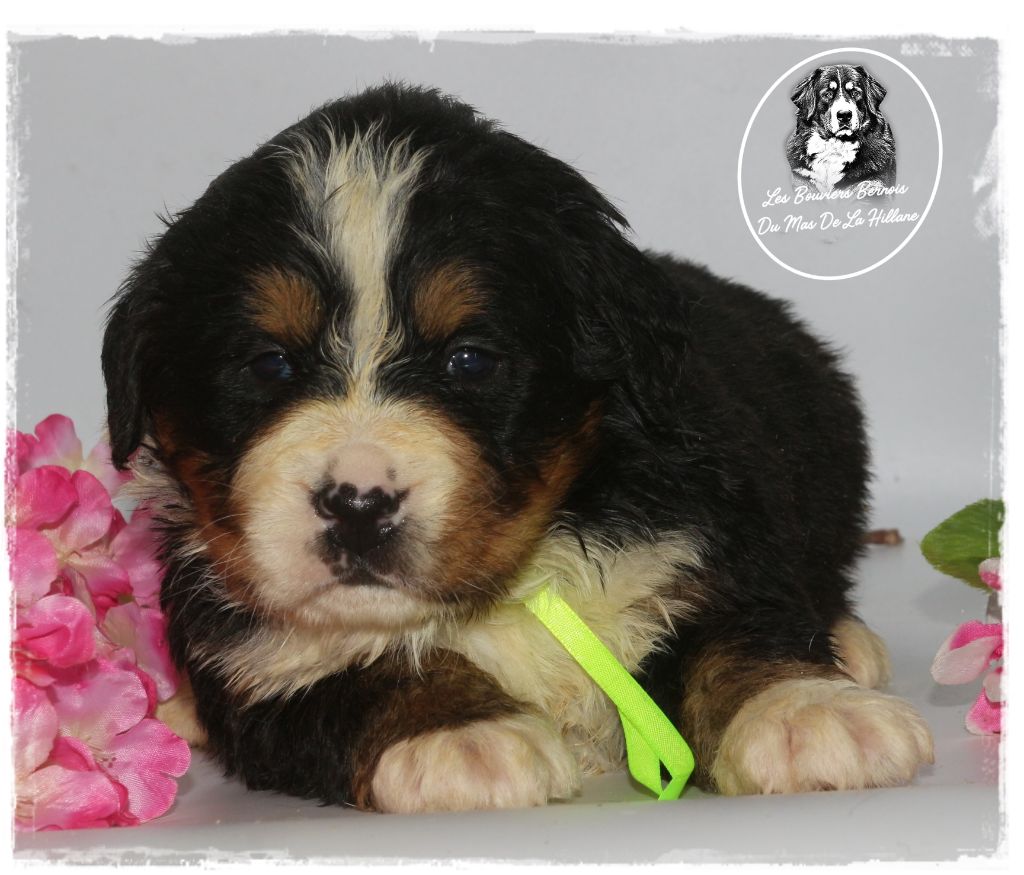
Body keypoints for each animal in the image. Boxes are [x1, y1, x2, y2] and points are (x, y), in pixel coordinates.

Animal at [102, 84, 933, 813]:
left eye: (470, 360)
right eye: (268, 364)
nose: (359, 503)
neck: (509, 586)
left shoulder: (699, 543)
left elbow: (732, 637)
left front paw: (807, 712)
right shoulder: (249, 659)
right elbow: (355, 672)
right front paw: (462, 735)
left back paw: (849, 645)